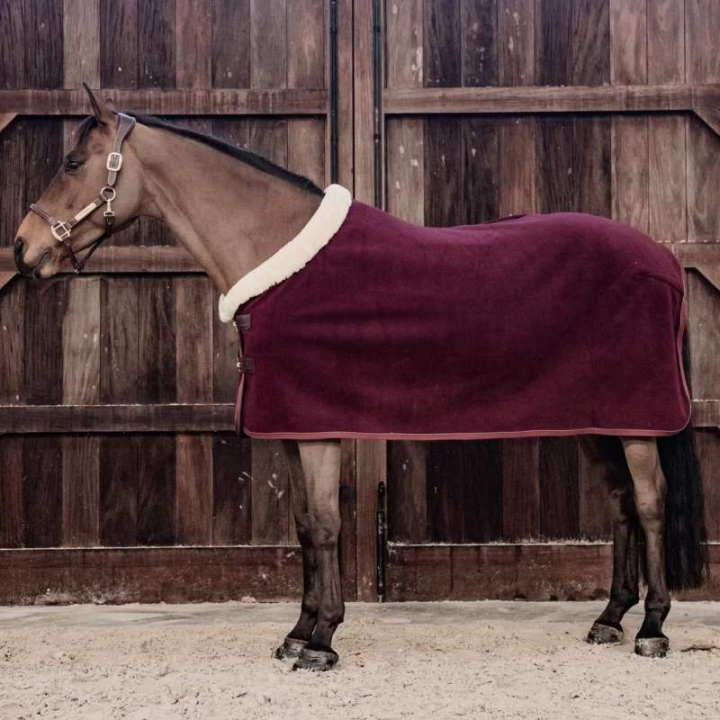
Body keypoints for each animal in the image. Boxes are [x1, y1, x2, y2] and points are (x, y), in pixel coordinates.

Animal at [13, 85, 708, 671]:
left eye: (72, 162)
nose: (23, 250)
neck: (279, 256)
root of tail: (662, 259)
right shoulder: (292, 430)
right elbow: (303, 527)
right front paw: (297, 633)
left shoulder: (318, 430)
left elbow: (325, 526)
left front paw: (321, 642)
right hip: (599, 418)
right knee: (619, 503)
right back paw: (609, 619)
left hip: (636, 420)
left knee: (649, 502)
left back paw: (653, 629)